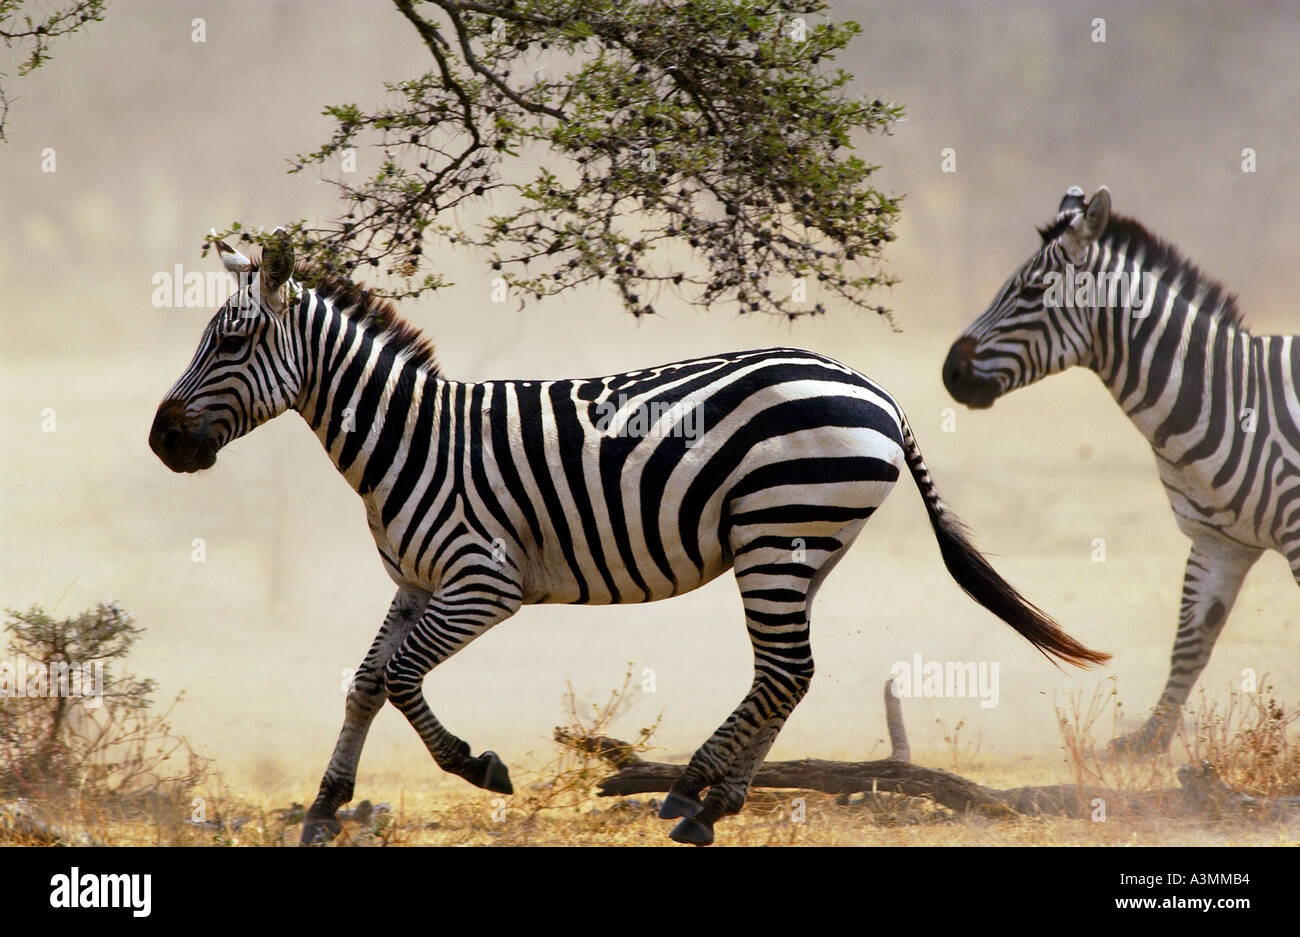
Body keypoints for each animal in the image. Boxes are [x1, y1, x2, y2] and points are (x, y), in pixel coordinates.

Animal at [149, 231, 1107, 845]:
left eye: (232, 340)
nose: (162, 442)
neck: (411, 439)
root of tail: (873, 387)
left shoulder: (483, 581)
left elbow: (399, 677)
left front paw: (478, 765)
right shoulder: (415, 582)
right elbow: (362, 682)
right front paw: (323, 806)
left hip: (777, 532)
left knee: (785, 669)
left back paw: (690, 795)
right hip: (805, 543)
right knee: (787, 673)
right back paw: (713, 803)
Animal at [944, 185, 1299, 753]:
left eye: (1031, 292)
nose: (949, 372)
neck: (1231, 399)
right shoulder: (1218, 541)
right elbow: (1190, 643)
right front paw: (1146, 743)